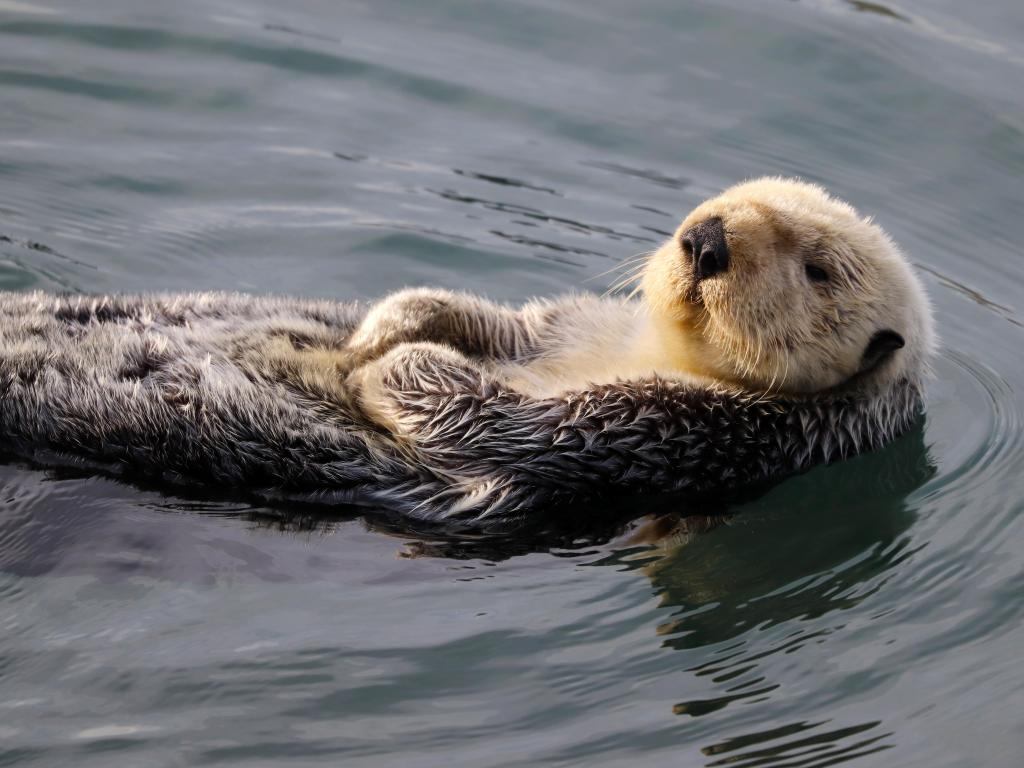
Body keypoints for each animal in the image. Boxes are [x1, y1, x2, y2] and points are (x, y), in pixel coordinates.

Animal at [0, 178, 933, 528]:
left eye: (818, 269)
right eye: (725, 200)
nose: (706, 241)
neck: (653, 352)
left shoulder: (679, 429)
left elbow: (477, 416)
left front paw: (372, 364)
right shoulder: (560, 322)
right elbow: (489, 324)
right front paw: (383, 325)